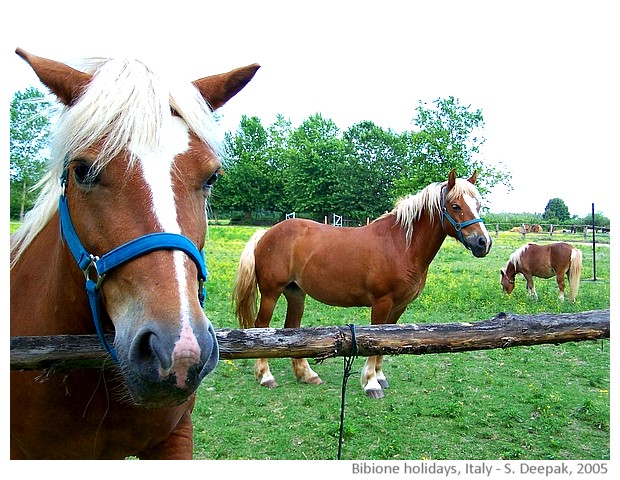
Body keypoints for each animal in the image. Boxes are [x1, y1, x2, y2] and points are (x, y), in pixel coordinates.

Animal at [235, 169, 492, 398]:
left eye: (478, 205)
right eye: (456, 206)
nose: (483, 242)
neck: (401, 244)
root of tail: (266, 234)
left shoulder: (398, 307)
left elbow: (386, 342)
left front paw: (379, 376)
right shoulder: (382, 302)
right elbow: (376, 341)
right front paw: (371, 383)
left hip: (296, 293)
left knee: (292, 329)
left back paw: (307, 374)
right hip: (271, 293)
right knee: (261, 327)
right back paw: (265, 376)